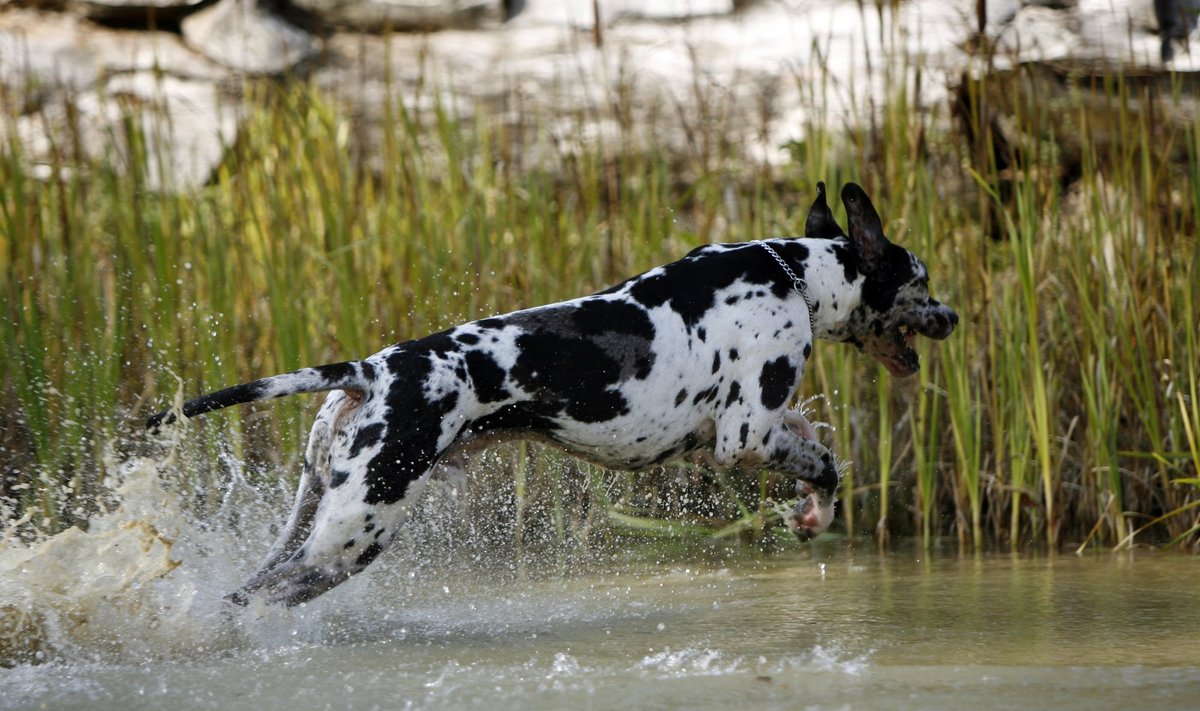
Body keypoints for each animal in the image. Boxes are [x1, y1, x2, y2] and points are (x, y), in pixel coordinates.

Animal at [147, 181, 955, 605]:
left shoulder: (734, 434)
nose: (951, 316)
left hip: (311, 520)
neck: (793, 275)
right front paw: (816, 507)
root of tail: (370, 368)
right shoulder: (744, 437)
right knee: (255, 600)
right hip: (350, 540)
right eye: (919, 279)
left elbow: (813, 437)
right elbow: (825, 460)